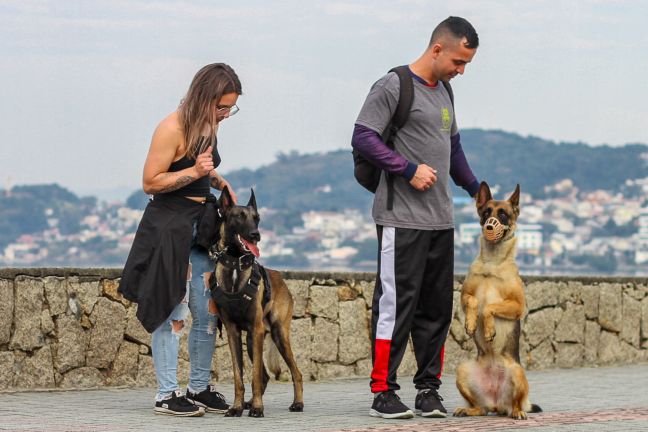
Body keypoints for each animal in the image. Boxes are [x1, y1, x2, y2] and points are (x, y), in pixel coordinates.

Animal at [211, 187, 306, 416]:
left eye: (257, 218)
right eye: (239, 216)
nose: (256, 235)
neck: (236, 264)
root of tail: (280, 277)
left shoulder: (256, 329)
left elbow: (252, 376)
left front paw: (257, 408)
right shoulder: (233, 332)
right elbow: (239, 376)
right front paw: (237, 407)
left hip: (277, 334)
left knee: (295, 373)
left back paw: (297, 403)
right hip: (252, 339)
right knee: (264, 375)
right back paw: (248, 403)